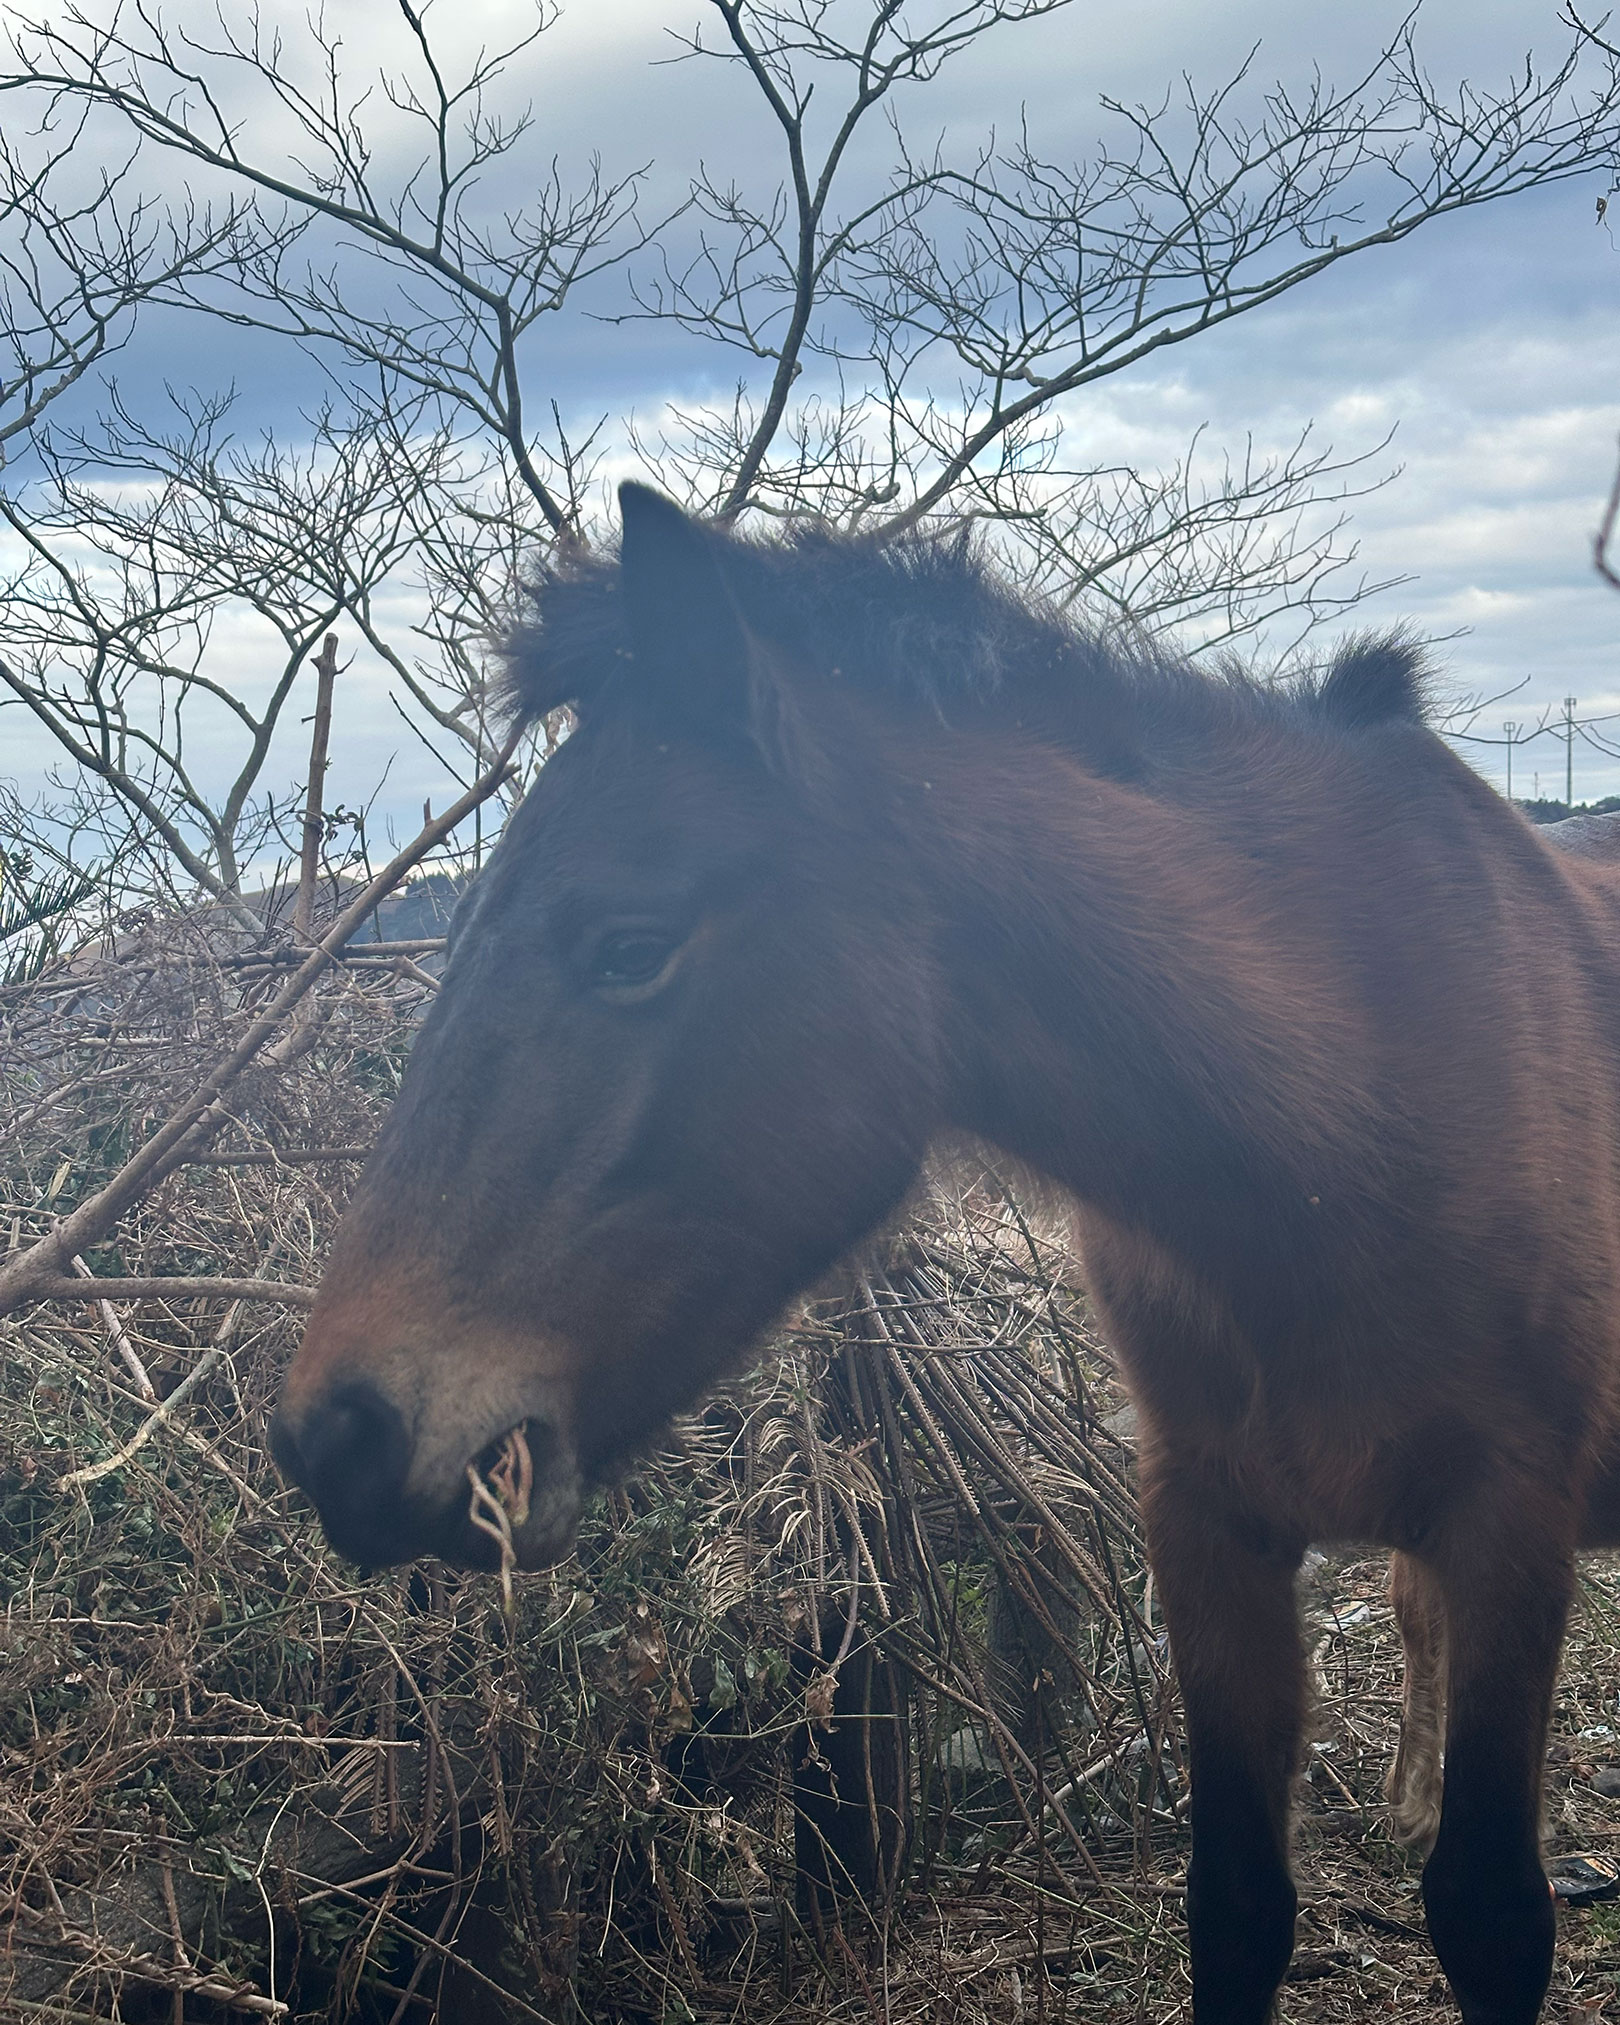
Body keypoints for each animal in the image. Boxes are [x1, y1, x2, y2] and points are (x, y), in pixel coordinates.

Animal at [271, 481, 1620, 2016]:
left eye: (630, 945)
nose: (338, 1432)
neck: (1358, 1118)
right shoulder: (1208, 1529)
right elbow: (1236, 1901)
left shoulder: (1509, 1522)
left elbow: (1491, 1907)